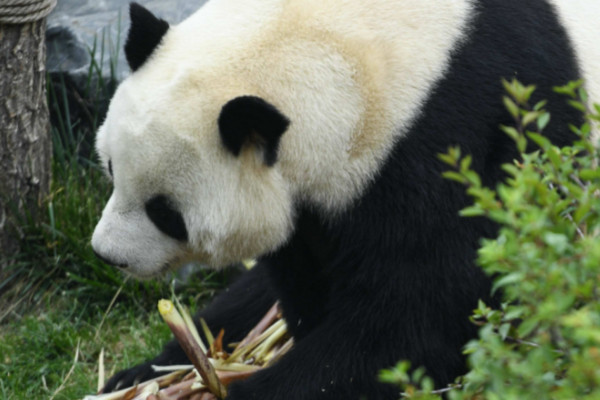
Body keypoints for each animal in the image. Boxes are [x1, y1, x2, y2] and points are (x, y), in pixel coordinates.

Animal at [92, 1, 600, 398]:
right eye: (112, 169)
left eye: (165, 212)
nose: (108, 254)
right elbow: (302, 280)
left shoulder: (473, 135)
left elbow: (416, 321)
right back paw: (138, 375)